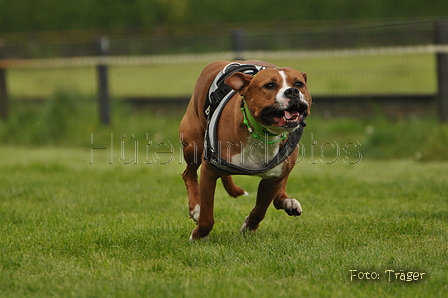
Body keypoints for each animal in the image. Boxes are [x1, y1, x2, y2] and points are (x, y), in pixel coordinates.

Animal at [179, 60, 312, 240]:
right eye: (269, 85)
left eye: (299, 84)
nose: (292, 91)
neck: (262, 134)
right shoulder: (209, 171)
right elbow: (207, 215)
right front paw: (199, 234)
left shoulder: (272, 179)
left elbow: (260, 209)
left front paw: (249, 227)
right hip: (193, 145)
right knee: (188, 174)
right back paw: (196, 208)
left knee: (280, 187)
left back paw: (287, 201)